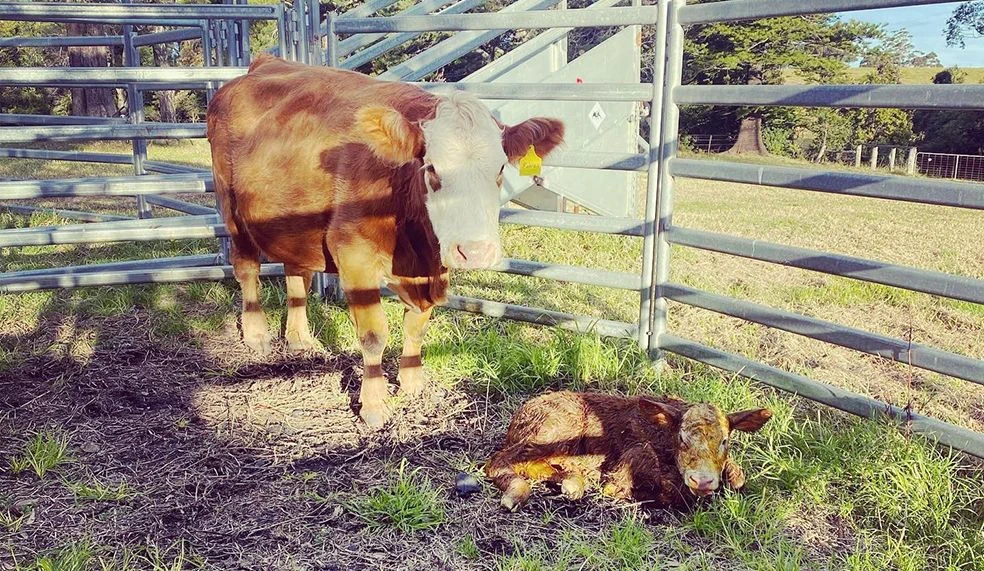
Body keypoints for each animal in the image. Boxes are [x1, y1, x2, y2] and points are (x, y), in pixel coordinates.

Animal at [205, 55, 565, 428]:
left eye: (500, 169)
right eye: (432, 169)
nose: (475, 251)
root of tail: (264, 64)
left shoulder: (428, 268)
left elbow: (417, 326)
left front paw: (412, 382)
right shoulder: (354, 255)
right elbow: (374, 334)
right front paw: (375, 403)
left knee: (297, 274)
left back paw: (299, 338)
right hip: (231, 208)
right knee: (247, 268)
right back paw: (257, 334)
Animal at [484, 391, 772, 511]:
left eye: (725, 441)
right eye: (681, 437)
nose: (702, 481)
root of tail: (519, 415)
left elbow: (738, 476)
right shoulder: (634, 455)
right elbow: (628, 486)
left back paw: (572, 483)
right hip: (552, 431)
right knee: (498, 460)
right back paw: (516, 494)